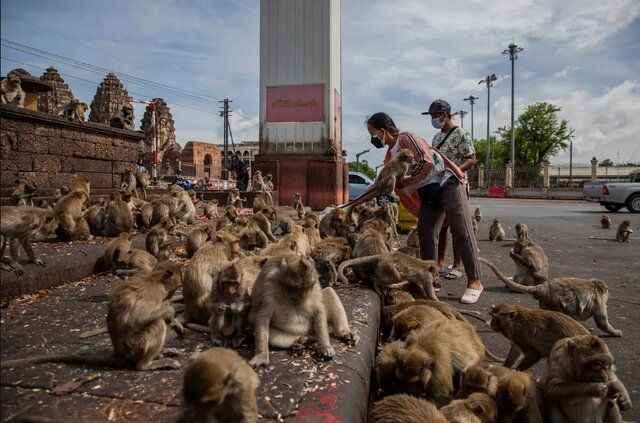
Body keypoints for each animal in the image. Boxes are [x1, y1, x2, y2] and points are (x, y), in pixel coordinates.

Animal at [0, 262, 185, 372]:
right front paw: (170, 312)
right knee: (156, 323)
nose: (169, 297)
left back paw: (161, 353)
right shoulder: (153, 294)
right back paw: (147, 364)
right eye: (174, 290)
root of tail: (118, 352)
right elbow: (140, 317)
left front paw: (175, 322)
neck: (155, 279)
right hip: (133, 346)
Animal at [482, 258, 624, 338]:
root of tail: (544, 287)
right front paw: (615, 332)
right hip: (554, 303)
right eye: (606, 292)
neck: (595, 286)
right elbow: (601, 321)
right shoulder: (599, 300)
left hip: (546, 303)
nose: (608, 294)